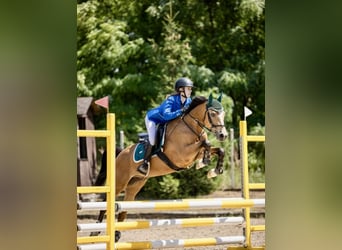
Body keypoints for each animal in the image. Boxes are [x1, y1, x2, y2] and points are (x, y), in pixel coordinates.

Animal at [92, 94, 228, 240]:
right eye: (212, 114)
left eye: (223, 114)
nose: (223, 135)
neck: (190, 128)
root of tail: (121, 153)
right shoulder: (182, 155)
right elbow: (206, 143)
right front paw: (205, 161)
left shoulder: (193, 154)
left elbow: (218, 149)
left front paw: (213, 170)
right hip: (119, 182)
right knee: (105, 202)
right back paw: (95, 230)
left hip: (135, 185)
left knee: (124, 207)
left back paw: (117, 234)